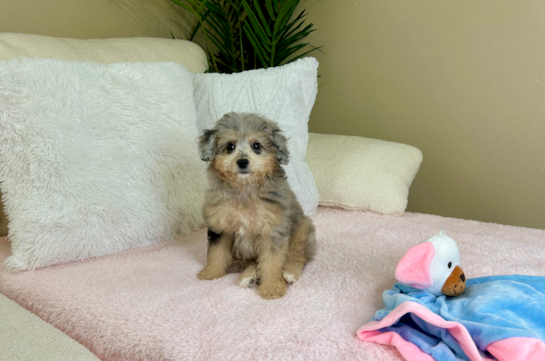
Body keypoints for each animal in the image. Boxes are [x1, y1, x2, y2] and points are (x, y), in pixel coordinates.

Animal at [197, 112, 314, 298]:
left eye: (257, 146)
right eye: (230, 146)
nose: (242, 162)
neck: (245, 191)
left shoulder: (272, 230)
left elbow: (271, 262)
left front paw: (272, 287)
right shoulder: (220, 226)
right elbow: (216, 252)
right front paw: (211, 273)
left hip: (302, 229)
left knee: (298, 257)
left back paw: (289, 273)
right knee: (252, 263)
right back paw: (249, 276)